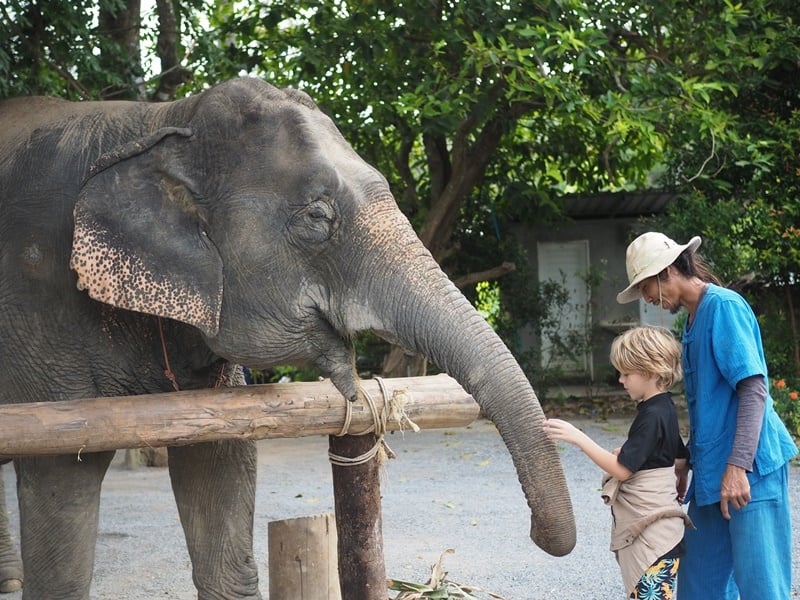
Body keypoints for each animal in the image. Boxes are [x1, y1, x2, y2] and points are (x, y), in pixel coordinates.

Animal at [0, 77, 575, 599]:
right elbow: (61, 478)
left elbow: (220, 462)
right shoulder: (36, 310)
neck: (160, 120)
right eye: (317, 218)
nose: (539, 536)